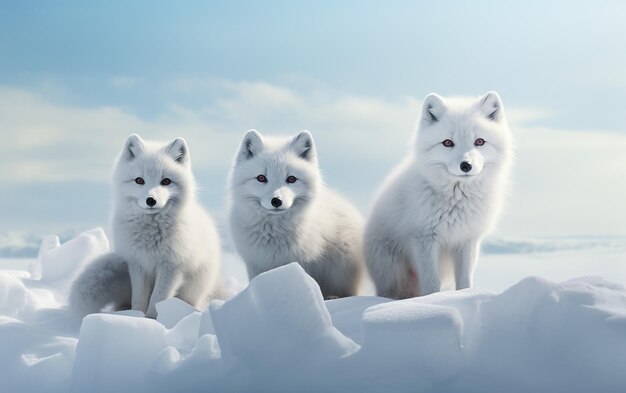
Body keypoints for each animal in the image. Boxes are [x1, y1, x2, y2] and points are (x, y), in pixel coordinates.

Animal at [69, 133, 221, 316]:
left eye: (166, 181)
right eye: (139, 180)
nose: (151, 200)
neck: (150, 233)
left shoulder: (171, 266)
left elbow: (157, 299)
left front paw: (152, 318)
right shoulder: (138, 264)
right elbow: (139, 298)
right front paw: (137, 316)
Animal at [228, 129, 366, 298]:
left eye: (291, 179)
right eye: (261, 178)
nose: (276, 201)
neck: (273, 234)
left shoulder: (303, 263)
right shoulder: (255, 264)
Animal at [364, 92, 510, 298]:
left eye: (479, 141)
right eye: (448, 143)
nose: (466, 166)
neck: (457, 200)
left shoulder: (467, 240)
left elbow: (465, 282)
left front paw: (464, 296)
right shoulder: (423, 238)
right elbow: (432, 284)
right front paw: (431, 300)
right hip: (393, 273)